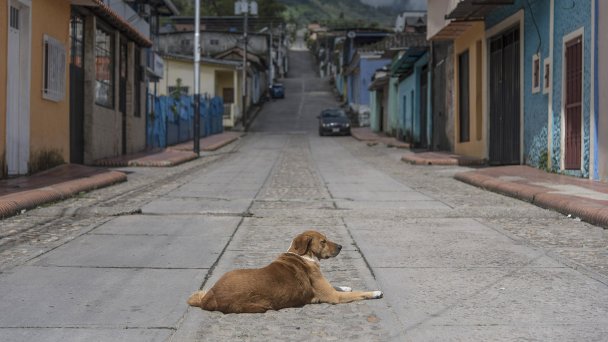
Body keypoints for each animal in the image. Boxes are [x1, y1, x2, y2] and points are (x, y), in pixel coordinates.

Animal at [188, 230, 382, 312]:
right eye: (323, 241)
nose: (341, 246)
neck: (303, 255)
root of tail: (208, 299)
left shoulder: (326, 288)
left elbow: (338, 285)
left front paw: (346, 286)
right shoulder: (333, 297)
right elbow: (358, 293)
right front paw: (375, 292)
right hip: (259, 306)